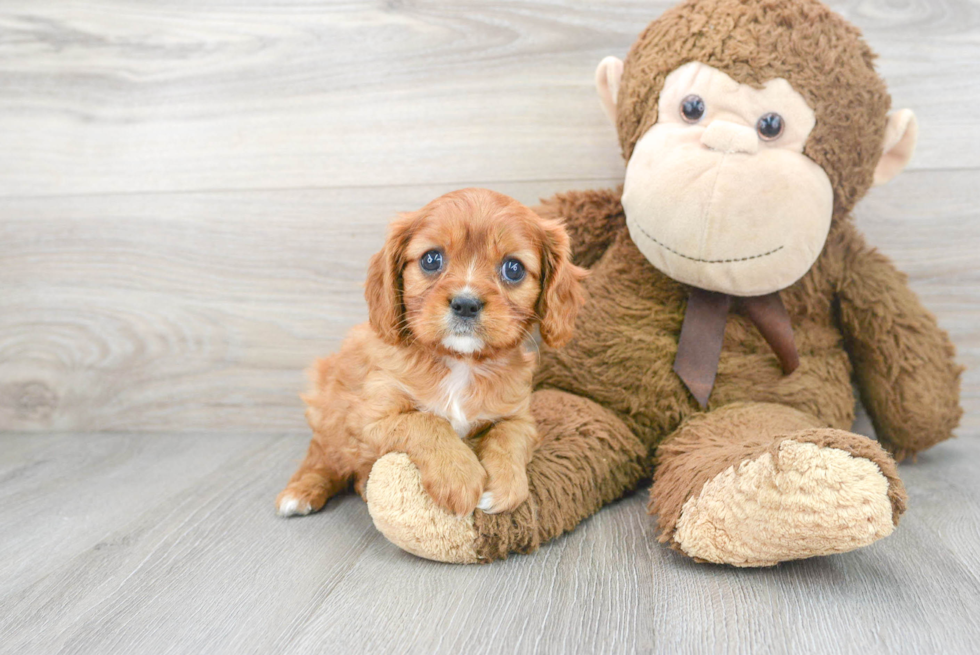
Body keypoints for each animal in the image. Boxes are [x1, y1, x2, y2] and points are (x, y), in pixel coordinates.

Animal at [272, 188, 584, 516]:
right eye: (431, 259)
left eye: (514, 268)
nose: (466, 304)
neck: (460, 363)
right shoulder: (368, 417)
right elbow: (426, 422)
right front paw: (458, 475)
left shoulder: (520, 416)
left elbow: (509, 436)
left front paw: (506, 485)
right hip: (326, 413)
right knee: (321, 457)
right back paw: (300, 492)